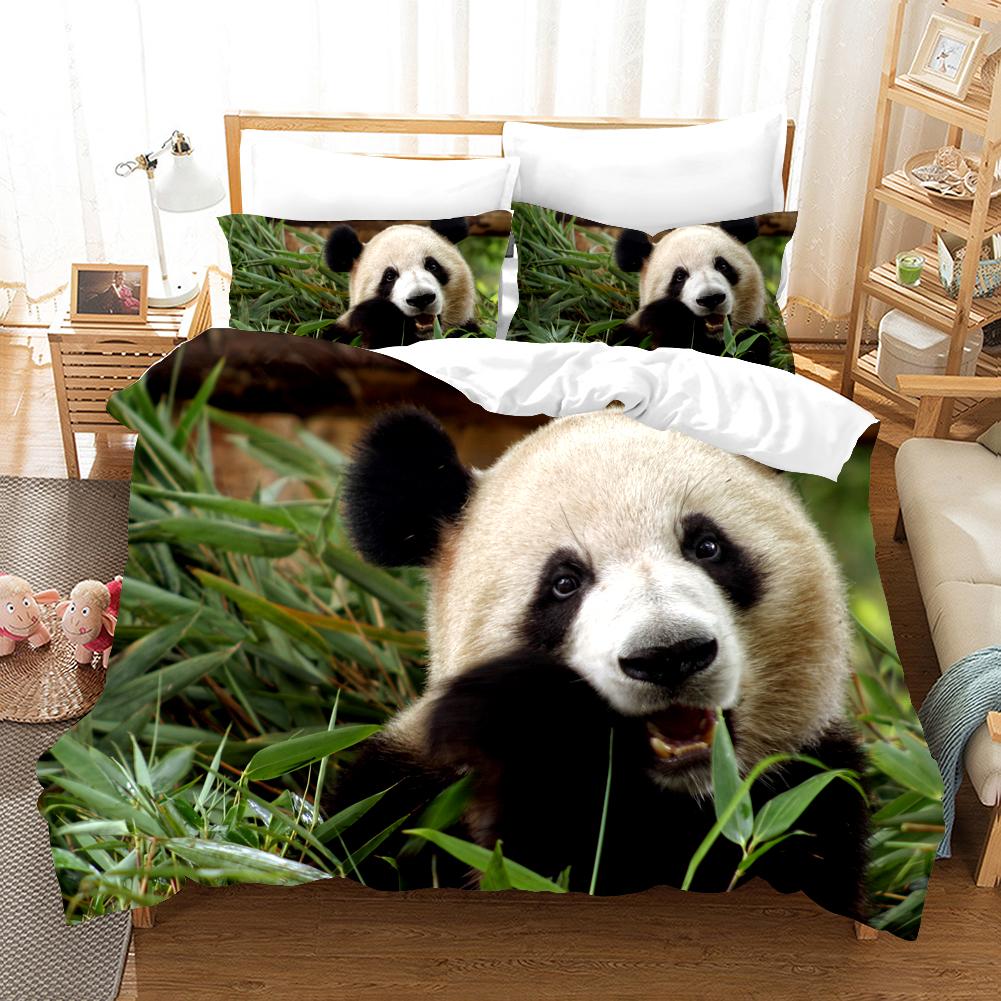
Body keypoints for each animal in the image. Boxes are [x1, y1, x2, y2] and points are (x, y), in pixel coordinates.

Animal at [328, 407, 870, 917]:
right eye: (564, 583)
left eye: (707, 546)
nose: (669, 655)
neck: (682, 796)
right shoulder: (405, 800)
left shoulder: (811, 791)